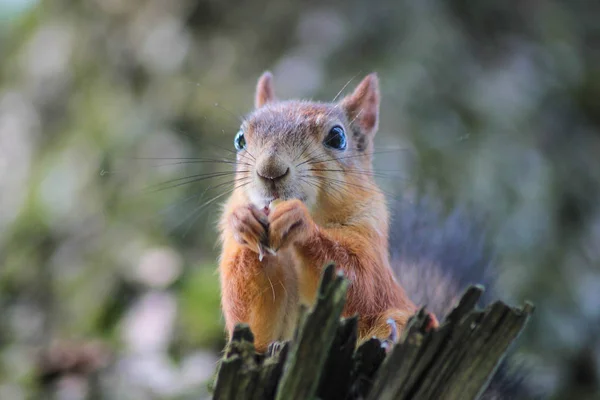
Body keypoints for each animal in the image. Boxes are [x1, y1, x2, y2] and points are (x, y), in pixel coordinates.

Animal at [216, 70, 436, 352]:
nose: (270, 170)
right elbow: (251, 321)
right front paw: (242, 221)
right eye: (240, 139)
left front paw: (299, 222)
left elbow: (362, 283)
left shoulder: (371, 232)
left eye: (337, 138)